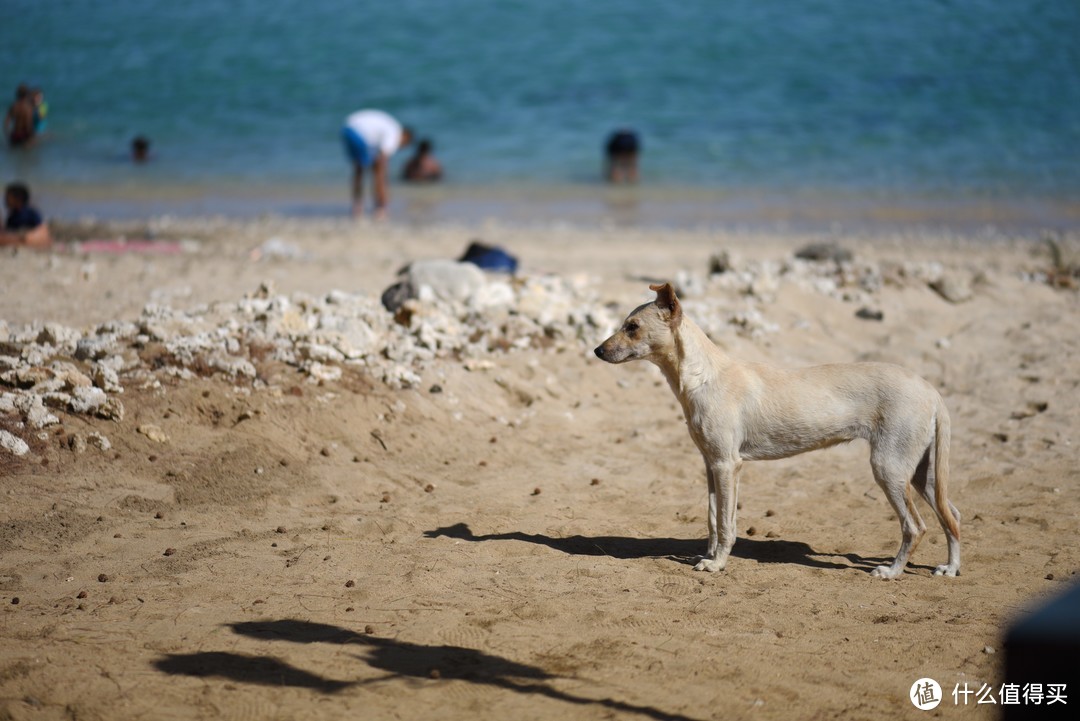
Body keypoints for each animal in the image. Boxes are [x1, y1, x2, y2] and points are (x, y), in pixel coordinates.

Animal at [600, 284, 963, 578]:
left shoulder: (727, 465)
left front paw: (717, 565)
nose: (597, 351)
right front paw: (708, 556)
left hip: (889, 469)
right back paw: (950, 568)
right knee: (953, 517)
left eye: (632, 327)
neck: (704, 376)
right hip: (921, 474)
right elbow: (714, 519)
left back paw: (892, 571)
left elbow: (726, 523)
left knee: (915, 527)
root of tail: (931, 391)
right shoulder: (712, 465)